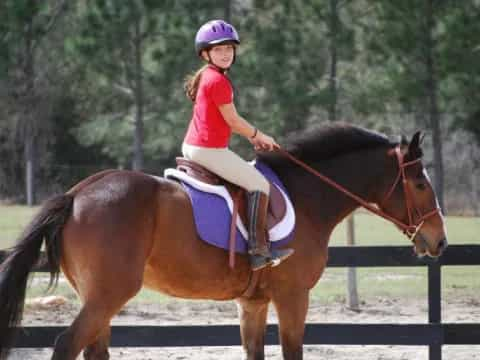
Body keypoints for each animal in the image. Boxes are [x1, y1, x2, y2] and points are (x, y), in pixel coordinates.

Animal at [0, 123, 446, 358]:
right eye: (421, 184)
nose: (440, 242)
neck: (308, 195)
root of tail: (76, 193)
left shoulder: (254, 303)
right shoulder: (293, 297)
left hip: (99, 299)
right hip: (109, 295)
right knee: (67, 344)